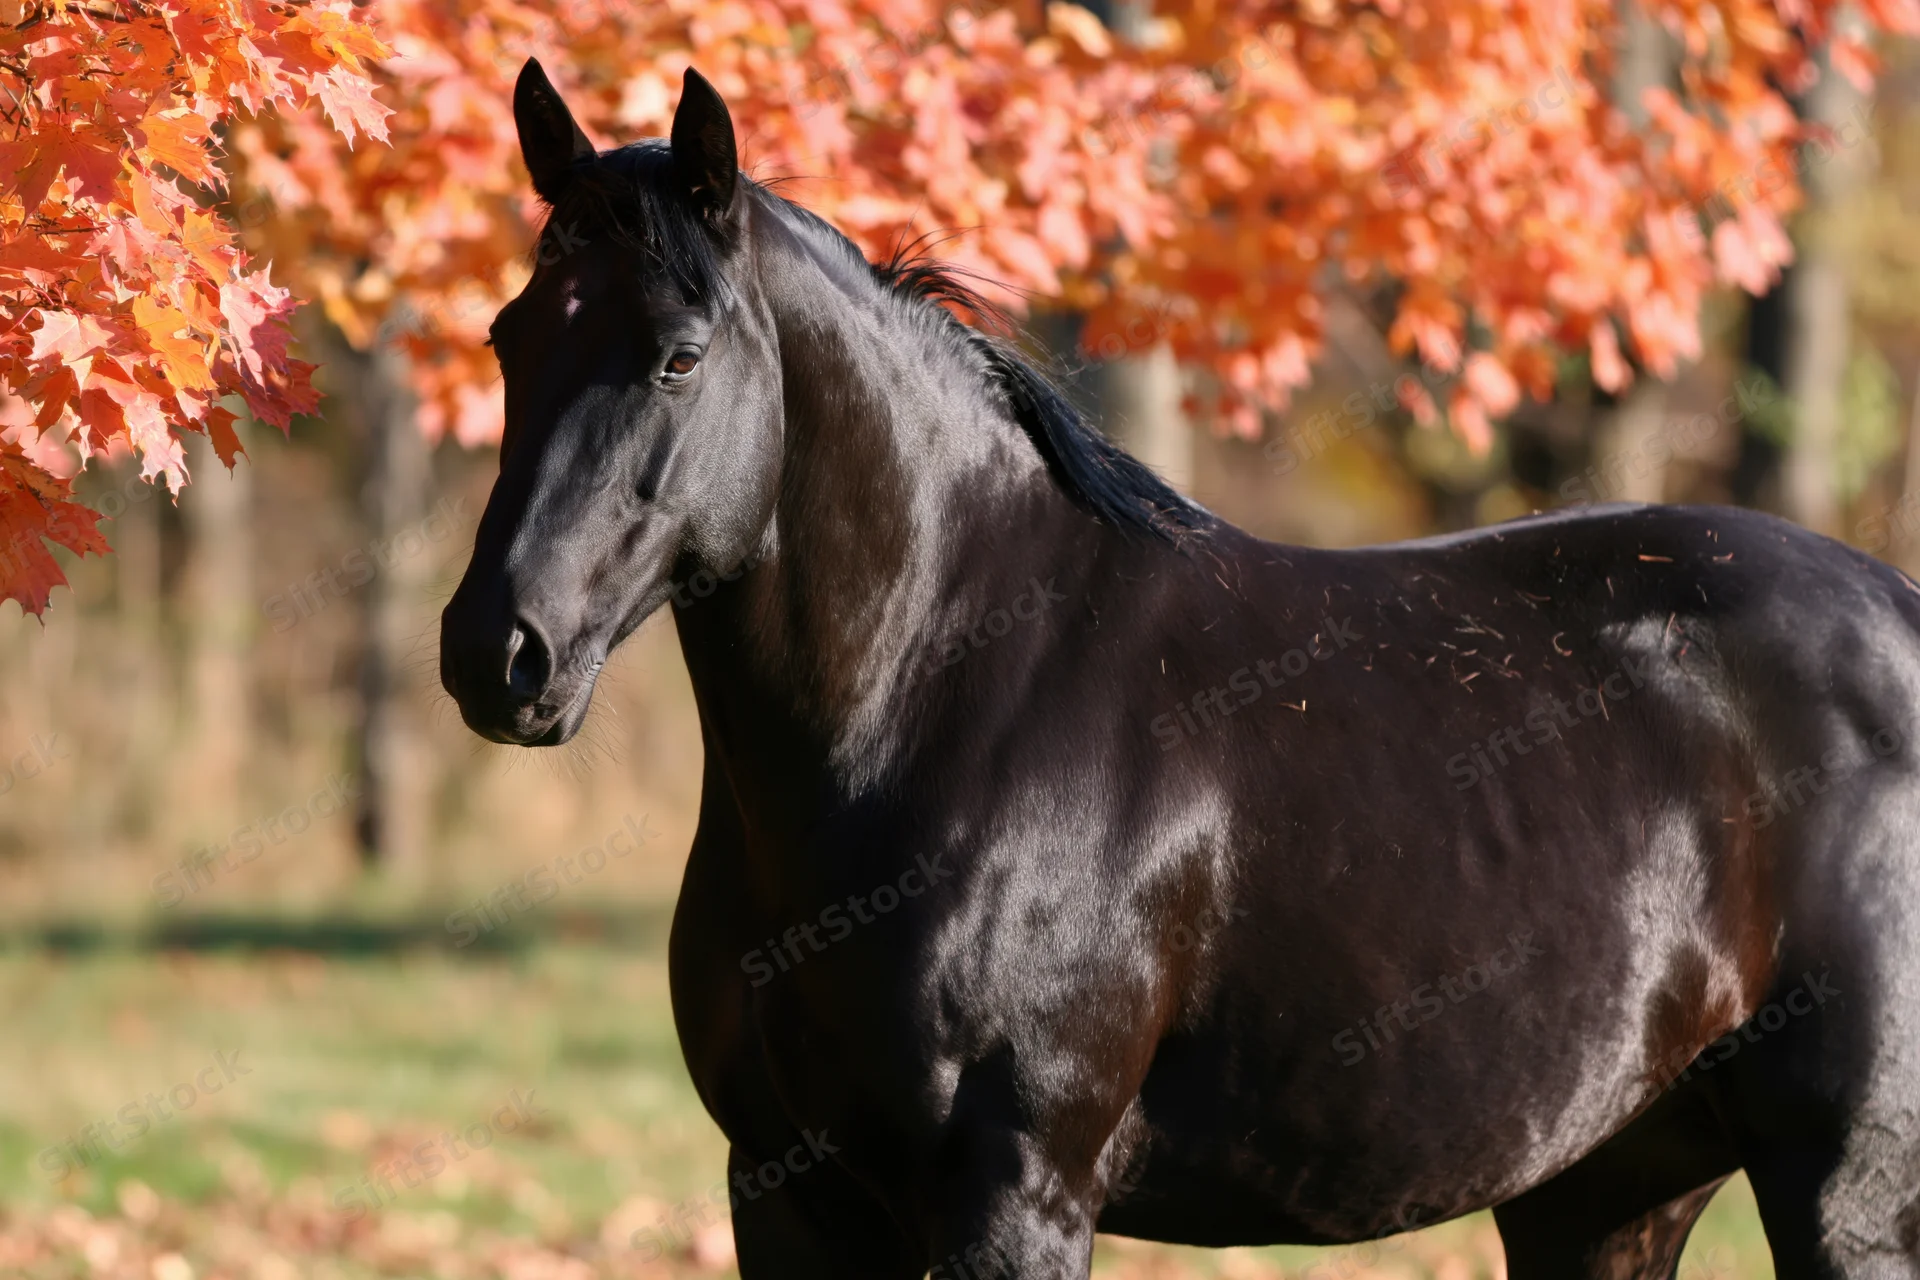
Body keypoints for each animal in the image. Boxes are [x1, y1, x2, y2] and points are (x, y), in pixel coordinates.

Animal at [439, 58, 1920, 1279]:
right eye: (511, 336)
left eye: (680, 357)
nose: (495, 653)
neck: (945, 702)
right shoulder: (787, 1195)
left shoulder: (1015, 1199)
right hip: (1607, 1191)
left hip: (1844, 1189)